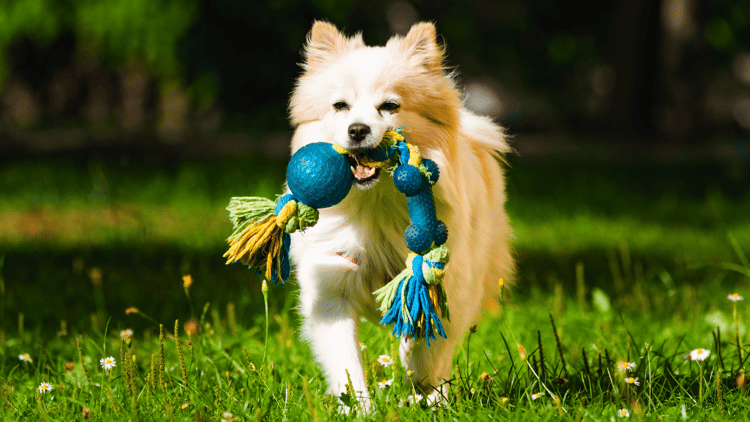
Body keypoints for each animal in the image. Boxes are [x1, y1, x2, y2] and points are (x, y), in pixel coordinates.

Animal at [284, 21, 516, 408]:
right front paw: (360, 408)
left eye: (389, 106)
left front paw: (419, 384)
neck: (375, 204)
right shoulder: (330, 289)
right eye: (340, 106)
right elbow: (347, 364)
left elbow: (427, 346)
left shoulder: (444, 283)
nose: (357, 129)